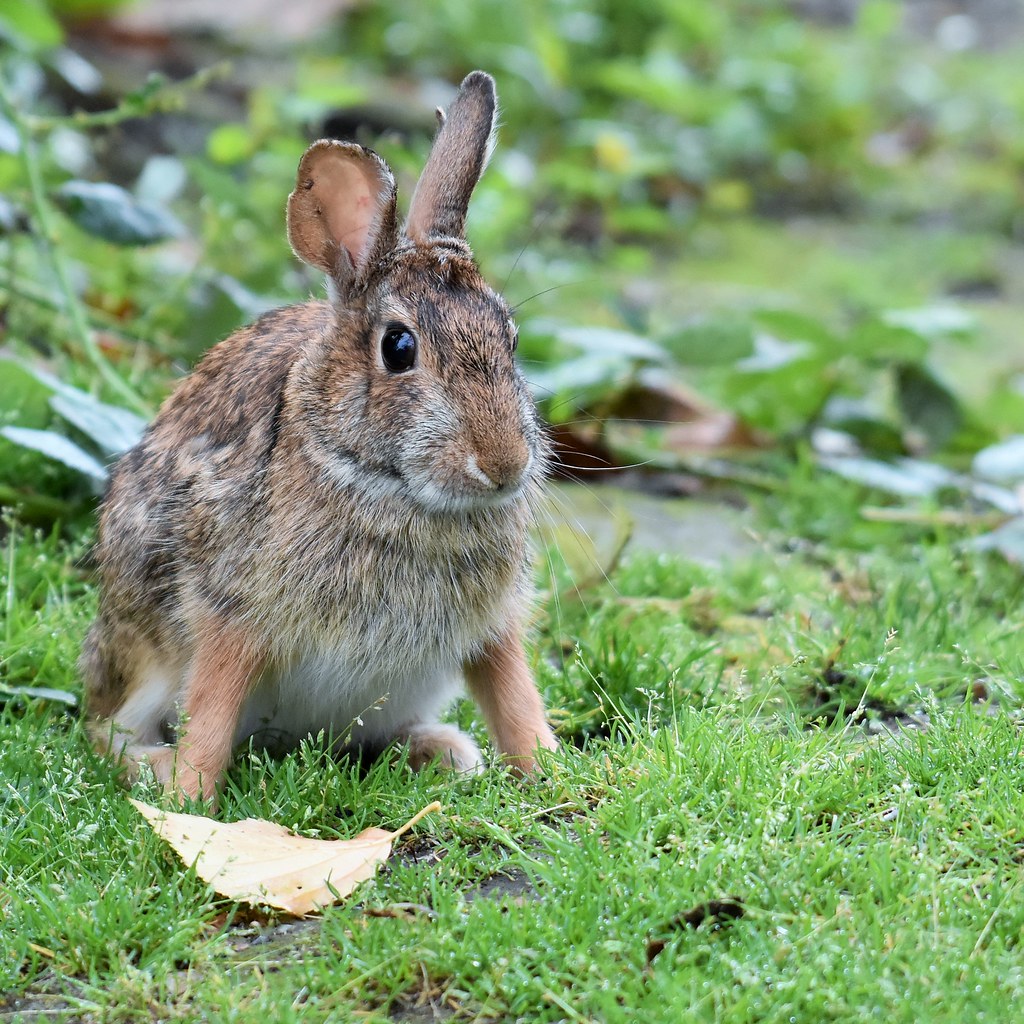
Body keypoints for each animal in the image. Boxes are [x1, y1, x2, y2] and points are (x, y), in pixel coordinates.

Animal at [81, 70, 558, 804]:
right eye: (398, 348)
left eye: (509, 336)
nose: (503, 465)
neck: (388, 487)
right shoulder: (234, 609)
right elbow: (211, 710)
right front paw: (192, 800)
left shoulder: (492, 623)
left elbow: (513, 692)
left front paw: (553, 769)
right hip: (142, 643)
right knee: (104, 728)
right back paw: (154, 769)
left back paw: (442, 752)